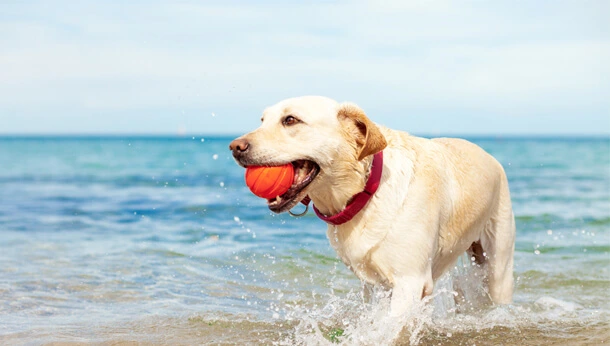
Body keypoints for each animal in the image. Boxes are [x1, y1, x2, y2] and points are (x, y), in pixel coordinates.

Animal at [228, 95, 512, 316]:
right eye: (262, 120)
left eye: (290, 120)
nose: (235, 147)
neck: (364, 191)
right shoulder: (374, 285)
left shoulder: (410, 281)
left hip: (498, 268)